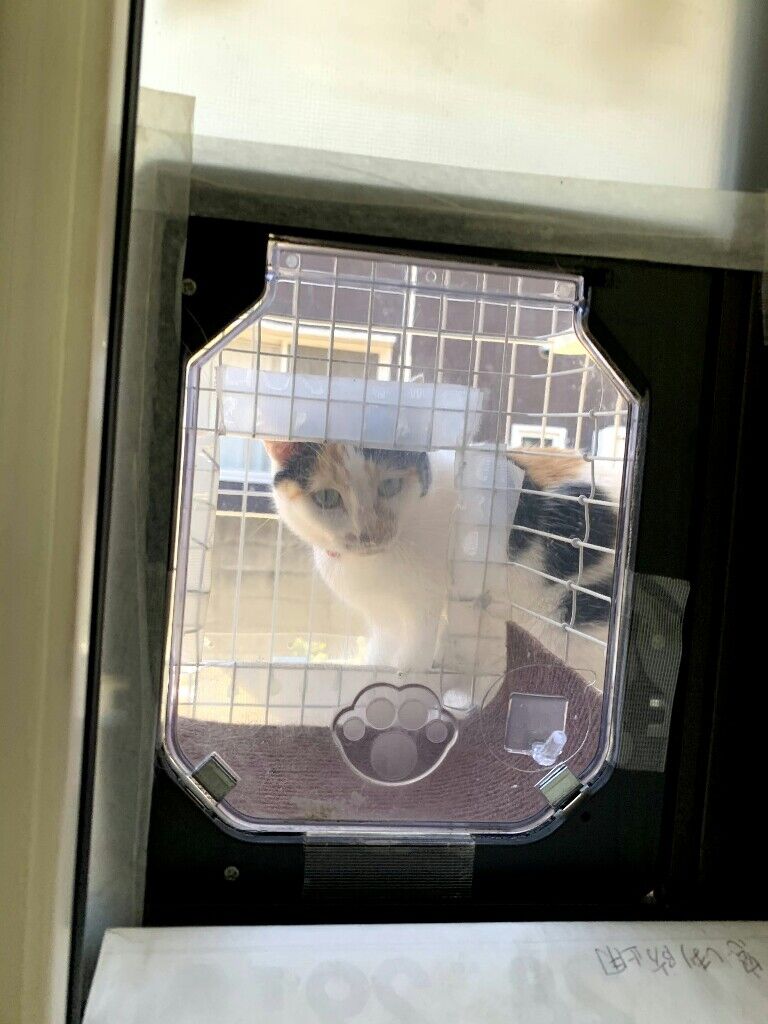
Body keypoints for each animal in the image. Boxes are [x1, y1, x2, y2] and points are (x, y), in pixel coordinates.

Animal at [264, 440, 618, 695]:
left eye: (390, 487)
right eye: (327, 498)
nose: (369, 534)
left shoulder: (424, 601)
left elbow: (413, 654)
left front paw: (403, 677)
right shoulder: (383, 618)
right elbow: (380, 652)